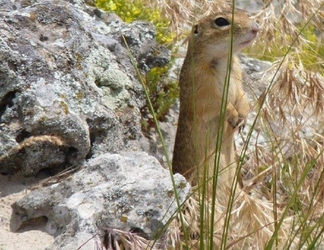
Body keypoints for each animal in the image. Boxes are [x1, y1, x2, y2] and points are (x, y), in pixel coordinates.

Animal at [172, 7, 258, 188]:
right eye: (221, 21)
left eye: (244, 13)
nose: (256, 28)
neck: (224, 58)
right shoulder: (201, 86)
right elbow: (215, 103)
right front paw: (233, 115)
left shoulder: (237, 77)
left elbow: (242, 96)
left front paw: (243, 116)